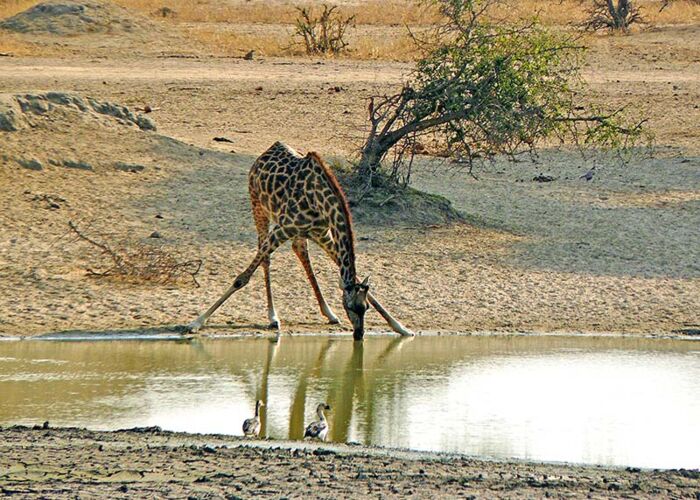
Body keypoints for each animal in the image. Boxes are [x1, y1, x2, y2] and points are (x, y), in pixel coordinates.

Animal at [186, 143, 416, 342]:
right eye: (350, 307)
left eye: (364, 308)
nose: (359, 335)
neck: (321, 201)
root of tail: (267, 151)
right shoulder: (283, 228)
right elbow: (241, 279)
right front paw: (196, 322)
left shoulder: (322, 234)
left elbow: (360, 282)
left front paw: (402, 328)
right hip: (258, 206)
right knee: (266, 257)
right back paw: (273, 317)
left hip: (301, 232)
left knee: (299, 251)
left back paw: (328, 313)